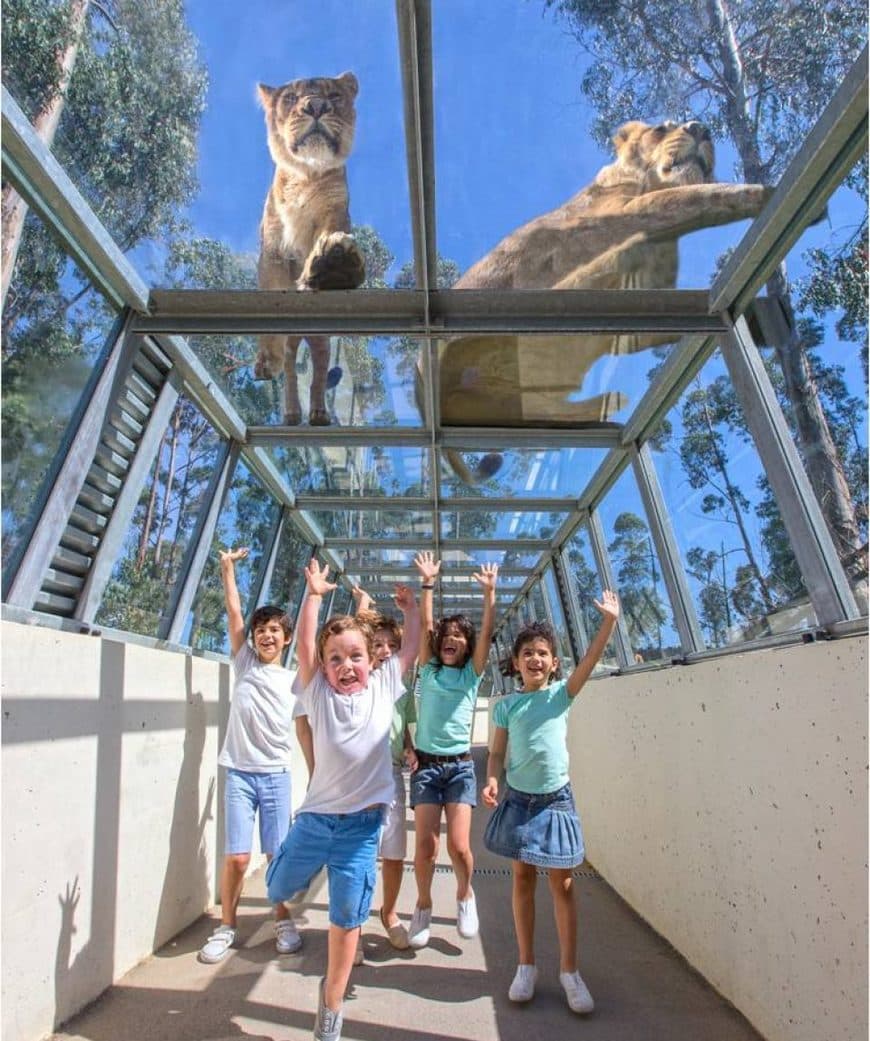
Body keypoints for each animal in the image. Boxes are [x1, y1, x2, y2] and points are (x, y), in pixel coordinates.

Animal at [251, 71, 364, 424]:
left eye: (334, 95)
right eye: (289, 98)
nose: (315, 106)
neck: (307, 175)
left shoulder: (335, 213)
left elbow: (328, 239)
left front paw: (332, 262)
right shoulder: (273, 249)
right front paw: (266, 359)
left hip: (321, 340)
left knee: (318, 370)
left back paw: (316, 413)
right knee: (290, 366)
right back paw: (290, 412)